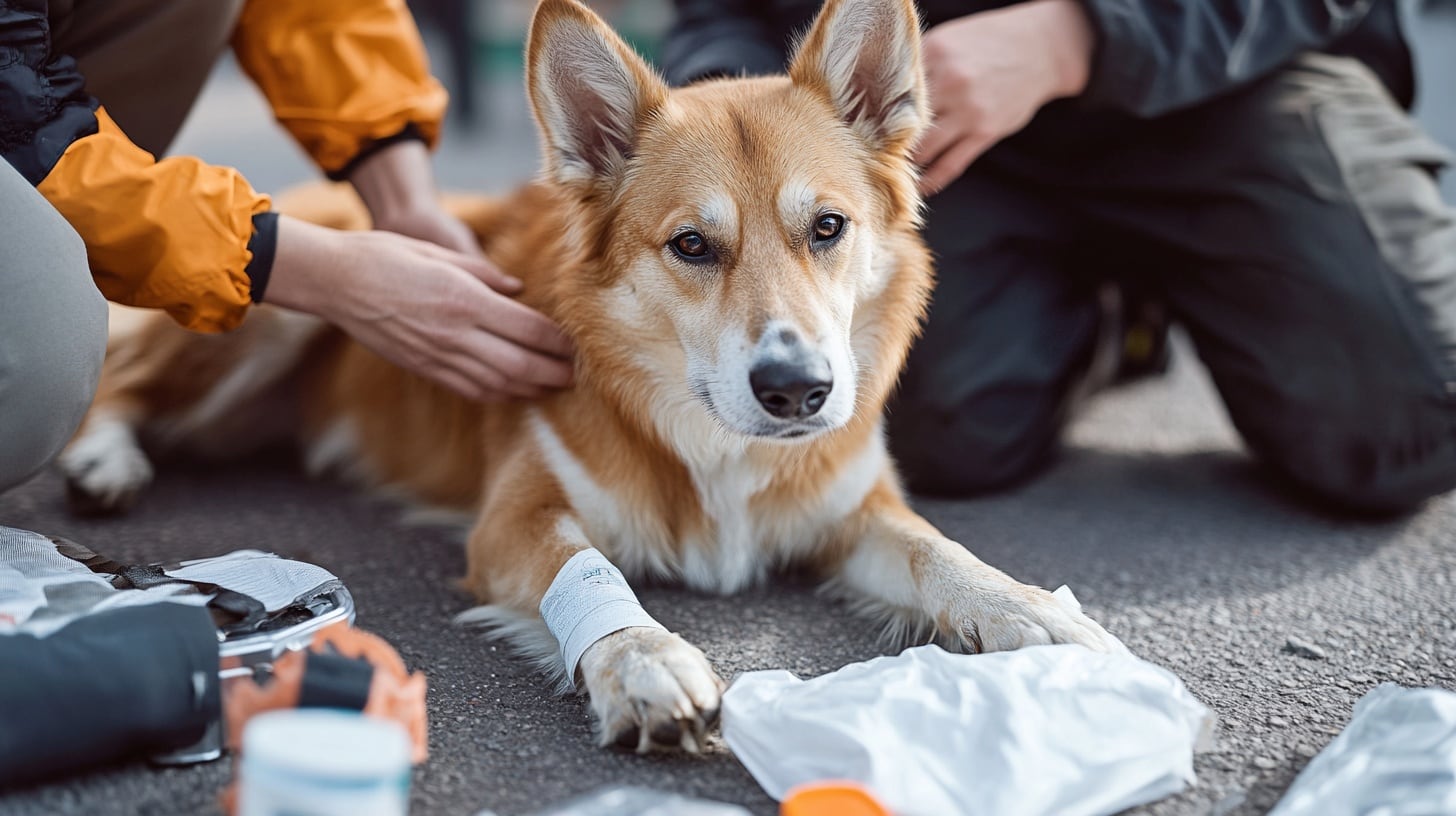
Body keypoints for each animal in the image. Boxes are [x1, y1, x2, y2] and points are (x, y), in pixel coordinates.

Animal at [59, 0, 1112, 757]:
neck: (711, 443)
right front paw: (644, 663)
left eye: (828, 228)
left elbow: (941, 553)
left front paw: (1030, 612)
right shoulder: (516, 520)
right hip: (272, 307)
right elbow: (592, 575)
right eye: (692, 245)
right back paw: (103, 464)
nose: (798, 392)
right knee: (119, 382)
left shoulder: (851, 509)